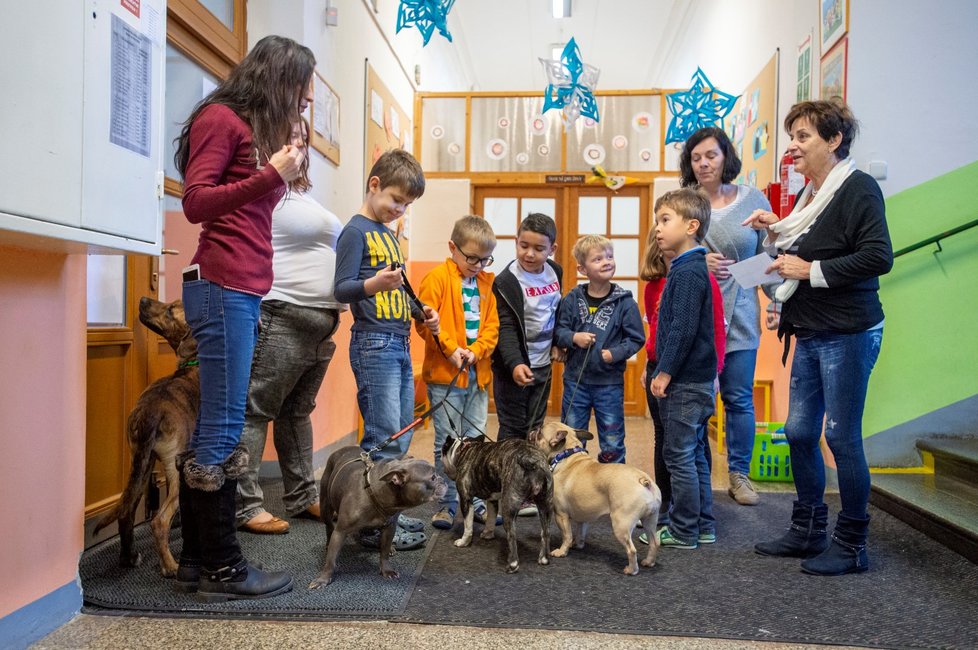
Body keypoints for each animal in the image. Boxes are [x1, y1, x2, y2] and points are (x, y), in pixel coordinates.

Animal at [92, 296, 199, 576]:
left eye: (171, 310)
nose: (142, 299)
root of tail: (151, 411)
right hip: (172, 469)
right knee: (159, 520)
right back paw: (170, 566)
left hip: (141, 464)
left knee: (126, 511)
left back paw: (129, 557)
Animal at [308, 446, 446, 588]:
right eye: (433, 477)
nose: (443, 480)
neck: (374, 493)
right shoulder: (341, 531)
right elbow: (331, 559)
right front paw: (324, 578)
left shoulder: (390, 528)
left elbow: (384, 552)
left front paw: (387, 570)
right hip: (325, 507)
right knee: (329, 526)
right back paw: (328, 542)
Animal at [440, 436, 552, 572]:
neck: (462, 449)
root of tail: (532, 462)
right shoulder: (492, 500)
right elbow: (491, 518)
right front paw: (488, 534)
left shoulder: (465, 499)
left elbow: (468, 526)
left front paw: (463, 542)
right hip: (545, 506)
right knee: (545, 532)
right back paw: (544, 559)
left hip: (508, 506)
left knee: (512, 535)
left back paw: (512, 564)